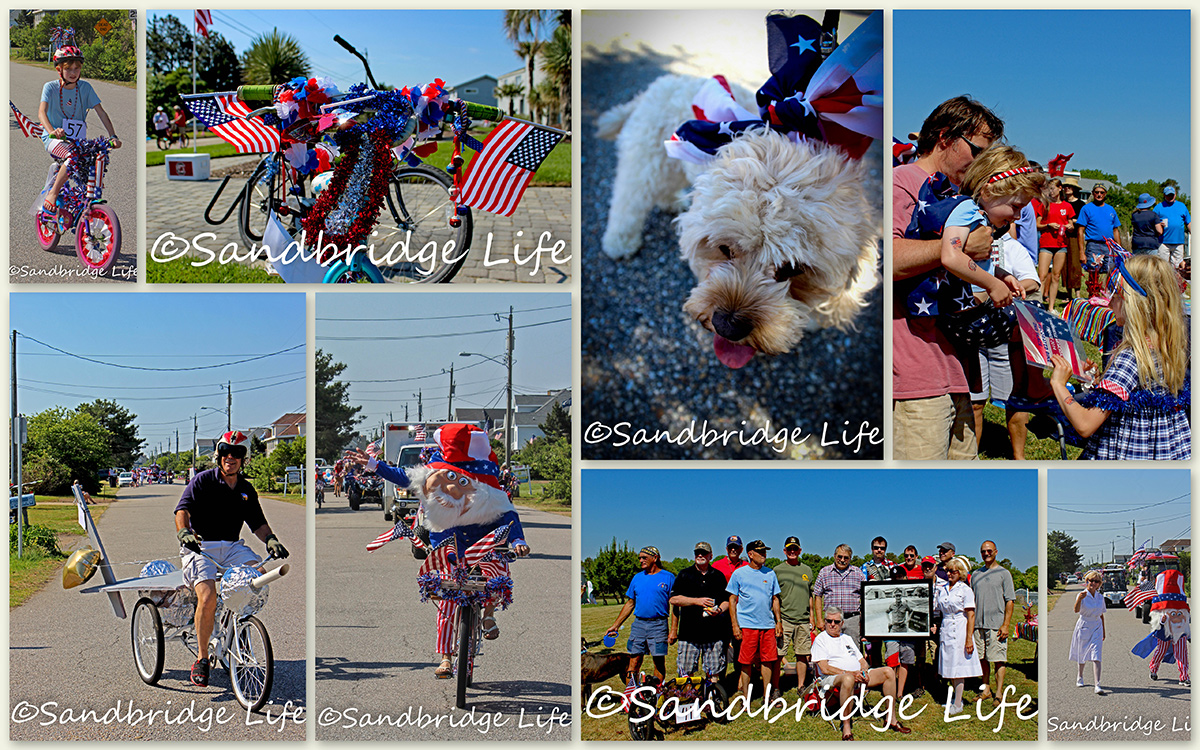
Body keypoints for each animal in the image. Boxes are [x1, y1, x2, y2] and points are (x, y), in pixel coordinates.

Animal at [595, 74, 878, 367]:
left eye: (792, 269)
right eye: (724, 249)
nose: (727, 326)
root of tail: (662, 82)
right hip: (647, 161)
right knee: (628, 198)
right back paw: (619, 241)